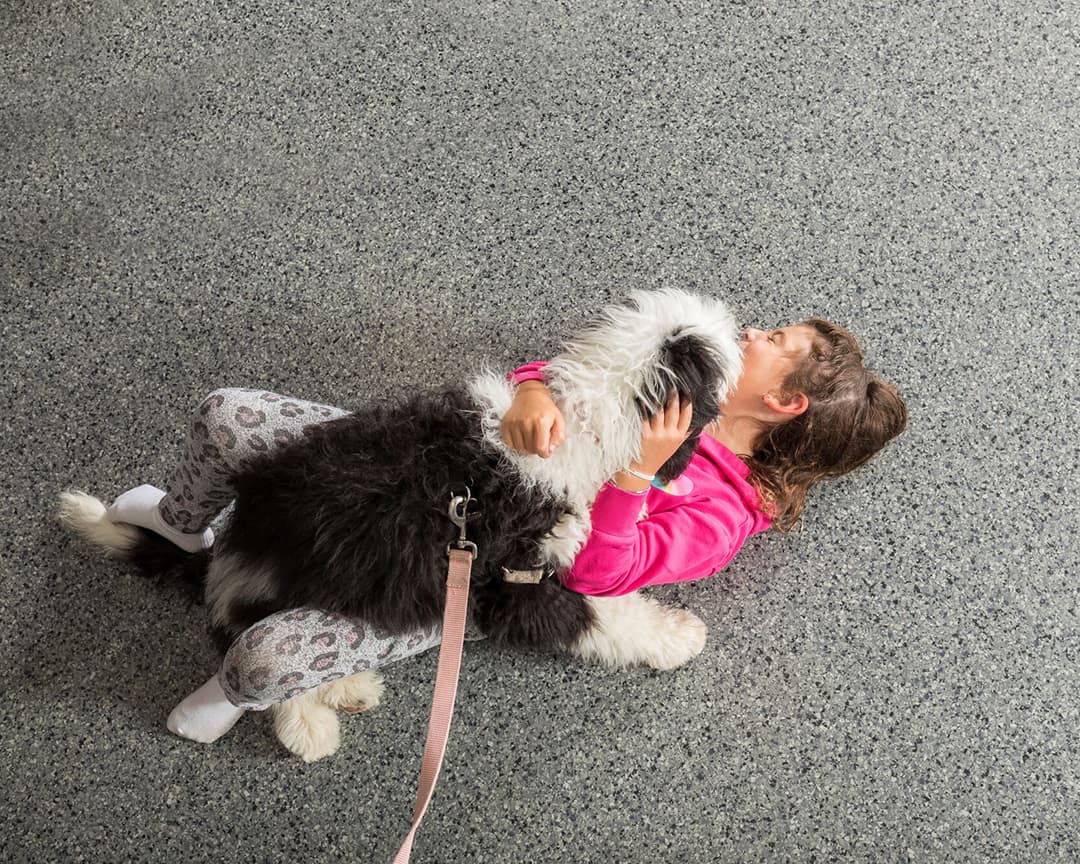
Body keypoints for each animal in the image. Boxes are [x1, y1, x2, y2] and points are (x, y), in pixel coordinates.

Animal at [59, 289, 743, 756]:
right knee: (256, 664)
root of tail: (228, 557)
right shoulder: (513, 581)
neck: (587, 414)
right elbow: (601, 614)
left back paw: (348, 687)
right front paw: (678, 636)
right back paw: (309, 727)